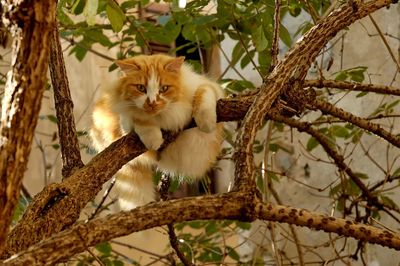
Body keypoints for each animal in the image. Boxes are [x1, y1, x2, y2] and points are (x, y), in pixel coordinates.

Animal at [90, 54, 225, 210]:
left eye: (164, 88)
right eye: (141, 88)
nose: (152, 102)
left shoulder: (207, 86)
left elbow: (203, 96)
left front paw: (206, 124)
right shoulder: (125, 123)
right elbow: (139, 119)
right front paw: (153, 140)